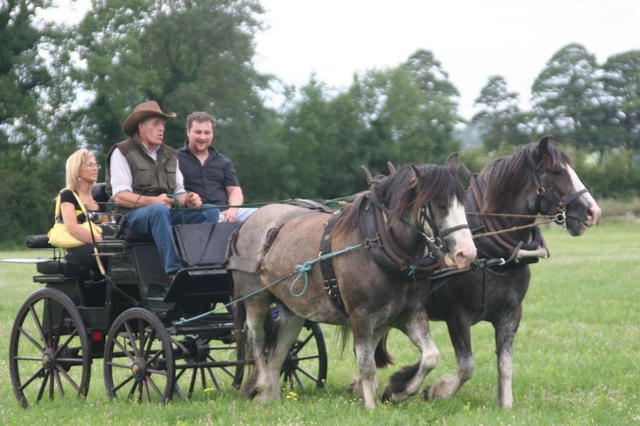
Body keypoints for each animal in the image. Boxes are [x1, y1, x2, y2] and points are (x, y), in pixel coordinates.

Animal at [229, 160, 476, 410]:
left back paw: (269, 397)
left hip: (293, 310)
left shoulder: (409, 315)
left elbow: (431, 356)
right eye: (441, 205)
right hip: (255, 298)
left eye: (463, 203)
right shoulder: (362, 317)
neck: (381, 247)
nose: (467, 253)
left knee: (279, 351)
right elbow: (366, 366)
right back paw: (262, 382)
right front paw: (371, 406)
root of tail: (247, 222)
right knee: (256, 337)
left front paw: (403, 390)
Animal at [376, 136, 600, 406]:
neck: (489, 252)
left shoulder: (510, 314)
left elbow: (505, 364)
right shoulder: (457, 315)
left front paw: (505, 405)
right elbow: (466, 366)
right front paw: (435, 389)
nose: (593, 212)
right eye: (557, 171)